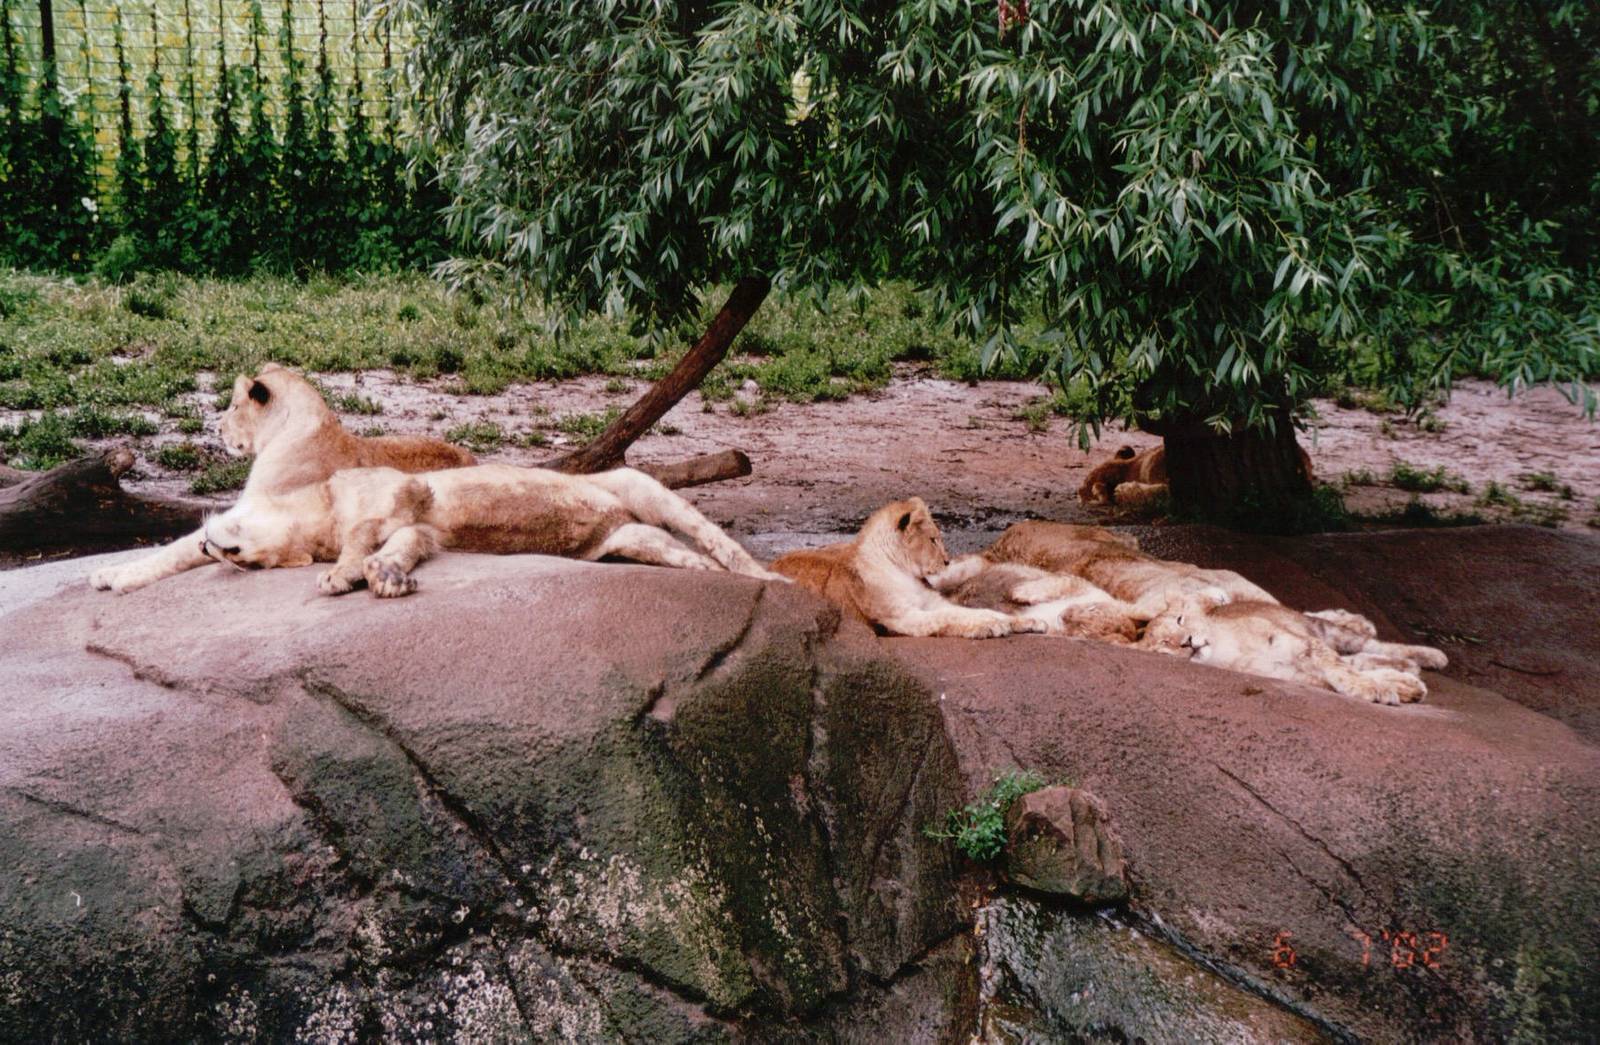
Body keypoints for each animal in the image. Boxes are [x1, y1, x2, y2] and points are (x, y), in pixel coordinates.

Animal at [90, 364, 475, 594]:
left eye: (233, 407)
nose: (217, 429)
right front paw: (111, 573)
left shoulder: (251, 516)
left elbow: (175, 551)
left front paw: (116, 576)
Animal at [769, 498, 1046, 639]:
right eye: (933, 540)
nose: (947, 561)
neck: (903, 572)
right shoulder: (901, 617)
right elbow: (948, 617)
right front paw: (990, 627)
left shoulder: (932, 601)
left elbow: (972, 611)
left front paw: (1023, 621)